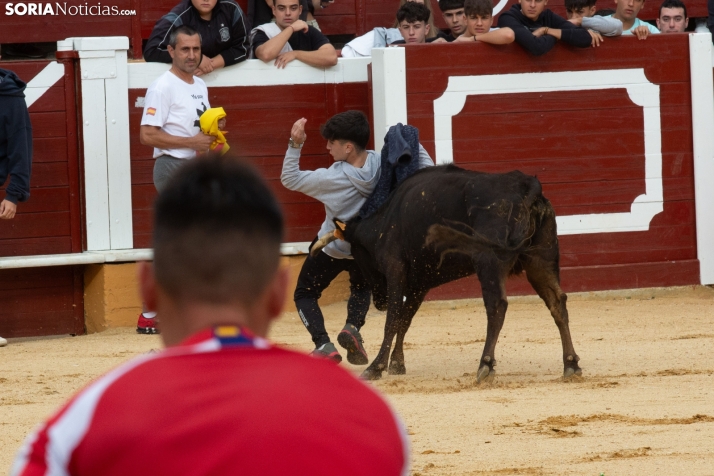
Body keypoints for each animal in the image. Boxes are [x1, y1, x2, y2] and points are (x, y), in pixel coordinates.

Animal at [314, 165, 580, 382]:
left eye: (355, 254)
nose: (378, 301)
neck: (385, 221)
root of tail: (526, 185)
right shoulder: (419, 285)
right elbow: (405, 320)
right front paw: (397, 364)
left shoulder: (395, 270)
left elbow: (392, 320)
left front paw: (376, 367)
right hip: (541, 260)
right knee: (557, 302)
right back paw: (571, 364)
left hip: (488, 262)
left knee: (497, 306)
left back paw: (485, 365)